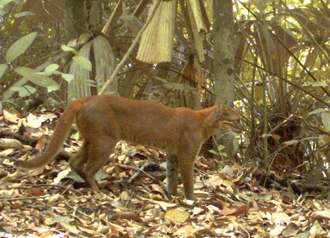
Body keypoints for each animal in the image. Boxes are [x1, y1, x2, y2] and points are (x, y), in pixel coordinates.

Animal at [14, 96, 240, 200]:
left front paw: (172, 194)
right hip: (105, 141)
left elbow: (171, 175)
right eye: (235, 118)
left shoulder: (172, 154)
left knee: (74, 160)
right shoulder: (186, 154)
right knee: (88, 167)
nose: (241, 126)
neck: (205, 121)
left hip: (91, 139)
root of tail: (86, 98)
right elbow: (188, 180)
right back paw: (97, 190)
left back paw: (83, 182)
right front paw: (190, 200)